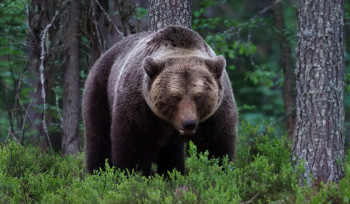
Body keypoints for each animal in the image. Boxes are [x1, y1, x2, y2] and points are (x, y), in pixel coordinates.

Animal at [82, 25, 238, 175]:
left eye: (198, 96)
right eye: (175, 97)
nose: (189, 124)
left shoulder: (216, 113)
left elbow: (216, 145)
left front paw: (217, 168)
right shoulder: (140, 107)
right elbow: (134, 146)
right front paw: (131, 174)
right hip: (101, 88)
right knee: (99, 137)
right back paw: (97, 172)